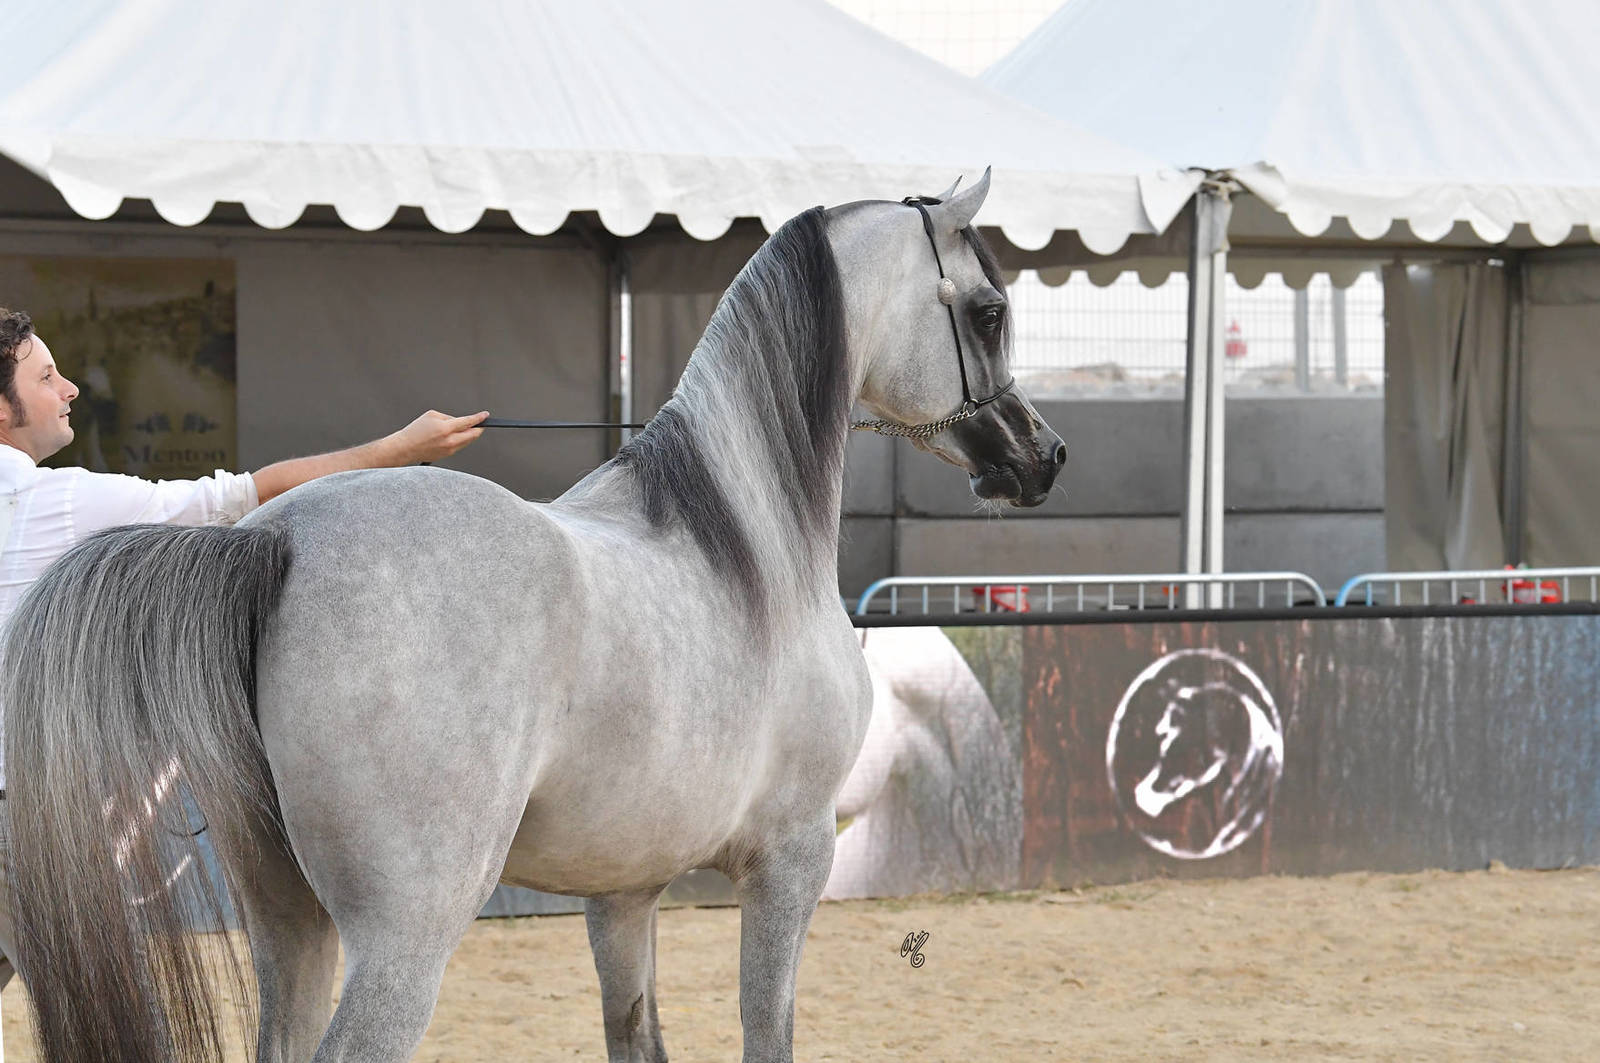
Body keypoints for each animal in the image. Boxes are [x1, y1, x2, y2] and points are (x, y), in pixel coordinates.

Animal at [2, 170, 1066, 1063]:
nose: (1043, 456)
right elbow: (768, 1029)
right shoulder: (792, 857)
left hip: (287, 922)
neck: (746, 535)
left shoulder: (623, 891)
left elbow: (636, 1033)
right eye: (990, 309)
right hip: (407, 934)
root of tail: (277, 541)